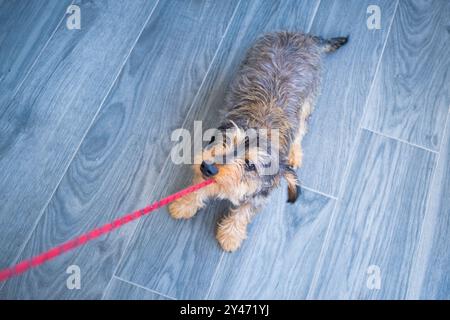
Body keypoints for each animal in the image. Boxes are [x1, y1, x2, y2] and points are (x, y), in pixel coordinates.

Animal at [169, 32, 348, 252]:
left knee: (301, 128)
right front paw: (184, 204)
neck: (262, 127)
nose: (208, 167)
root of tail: (302, 36)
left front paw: (231, 235)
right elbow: (198, 188)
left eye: (250, 165)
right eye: (225, 140)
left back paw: (295, 152)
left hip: (308, 102)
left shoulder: (261, 194)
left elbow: (243, 212)